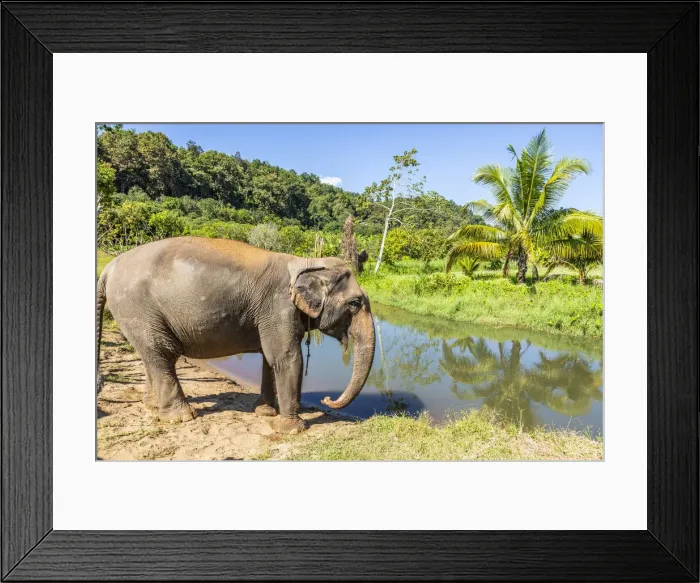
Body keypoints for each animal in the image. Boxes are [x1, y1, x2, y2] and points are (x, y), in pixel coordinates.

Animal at [96, 236, 376, 434]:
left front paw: (265, 413)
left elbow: (269, 359)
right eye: (354, 303)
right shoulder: (277, 305)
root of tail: (108, 268)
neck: (305, 262)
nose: (328, 399)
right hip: (136, 306)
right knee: (161, 354)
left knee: (150, 355)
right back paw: (181, 417)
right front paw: (291, 429)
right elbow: (287, 358)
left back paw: (153, 407)